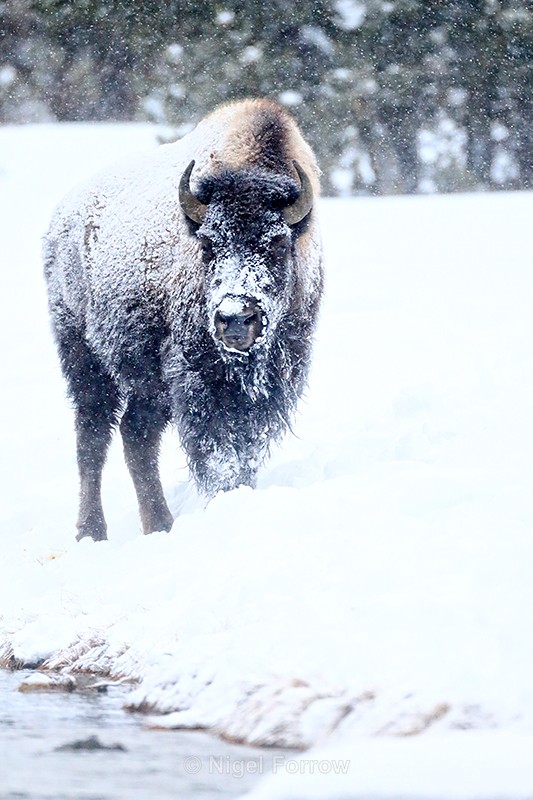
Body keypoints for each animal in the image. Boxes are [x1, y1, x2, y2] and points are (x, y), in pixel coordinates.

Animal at [43, 99, 324, 541]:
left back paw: (159, 524)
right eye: (208, 245)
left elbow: (244, 446)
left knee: (135, 435)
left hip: (148, 384)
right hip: (84, 357)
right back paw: (91, 531)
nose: (235, 319)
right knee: (92, 434)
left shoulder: (273, 380)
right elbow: (217, 451)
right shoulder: (197, 380)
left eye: (278, 243)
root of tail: (61, 221)